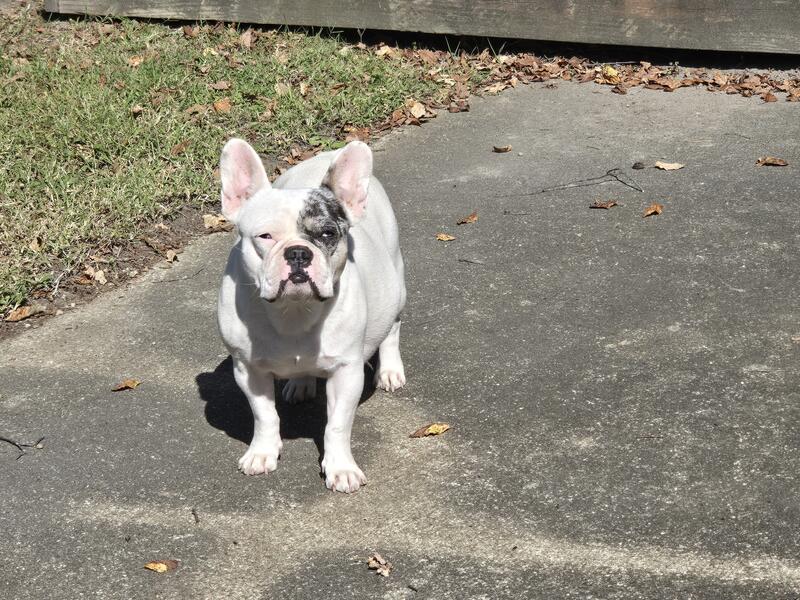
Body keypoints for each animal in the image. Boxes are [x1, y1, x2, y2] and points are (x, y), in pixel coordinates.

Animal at [216, 138, 406, 493]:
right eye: (265, 237)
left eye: (328, 234)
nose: (298, 252)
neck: (293, 310)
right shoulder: (248, 370)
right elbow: (264, 415)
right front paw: (262, 452)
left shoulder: (347, 373)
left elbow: (337, 425)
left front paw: (341, 468)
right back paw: (301, 383)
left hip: (396, 285)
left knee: (392, 329)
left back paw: (390, 370)